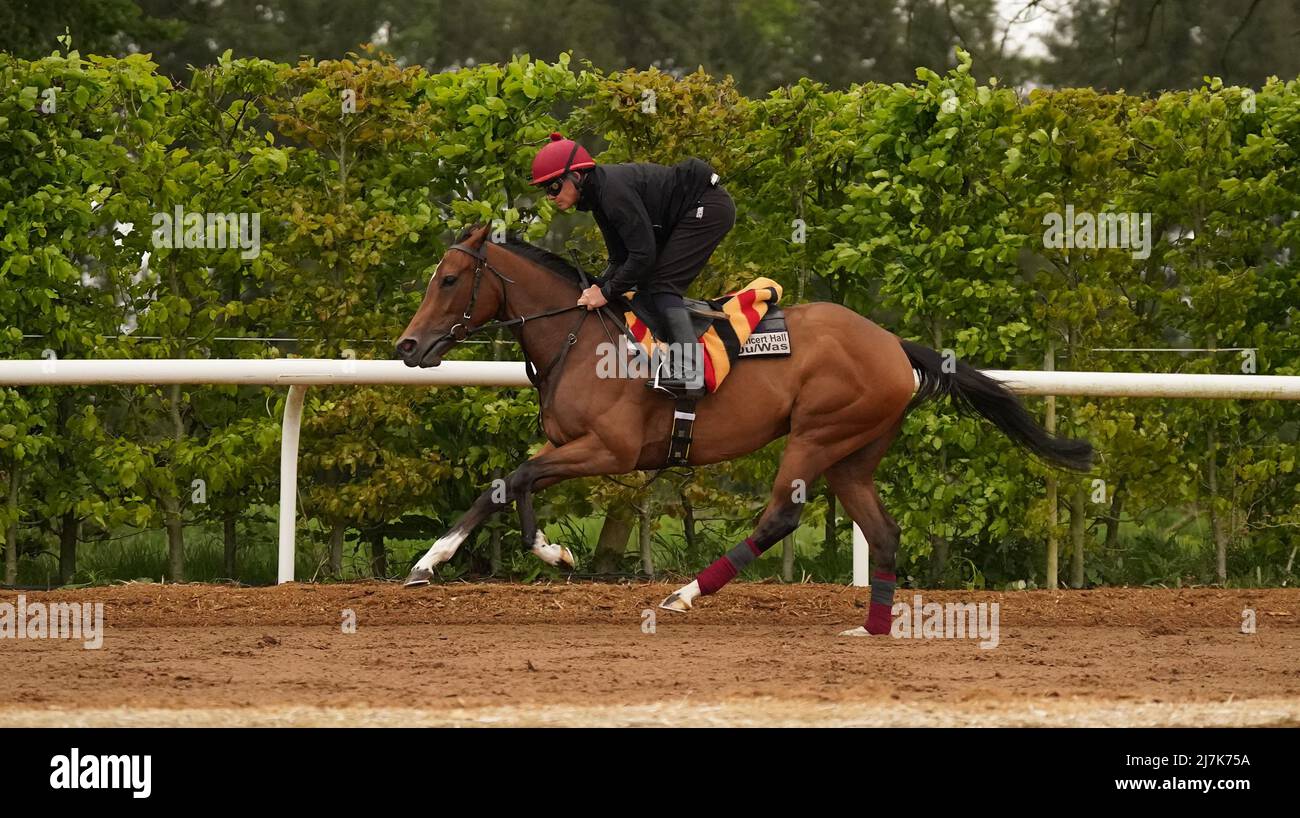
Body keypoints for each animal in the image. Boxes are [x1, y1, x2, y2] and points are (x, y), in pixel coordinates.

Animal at [390, 223, 1092, 632]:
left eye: (448, 279)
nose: (408, 346)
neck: (579, 337)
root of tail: (893, 344)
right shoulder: (571, 444)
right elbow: (510, 484)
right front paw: (444, 560)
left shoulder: (610, 450)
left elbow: (519, 477)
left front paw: (524, 553)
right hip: (853, 453)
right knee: (884, 533)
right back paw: (870, 628)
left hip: (816, 435)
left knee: (781, 517)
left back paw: (684, 595)